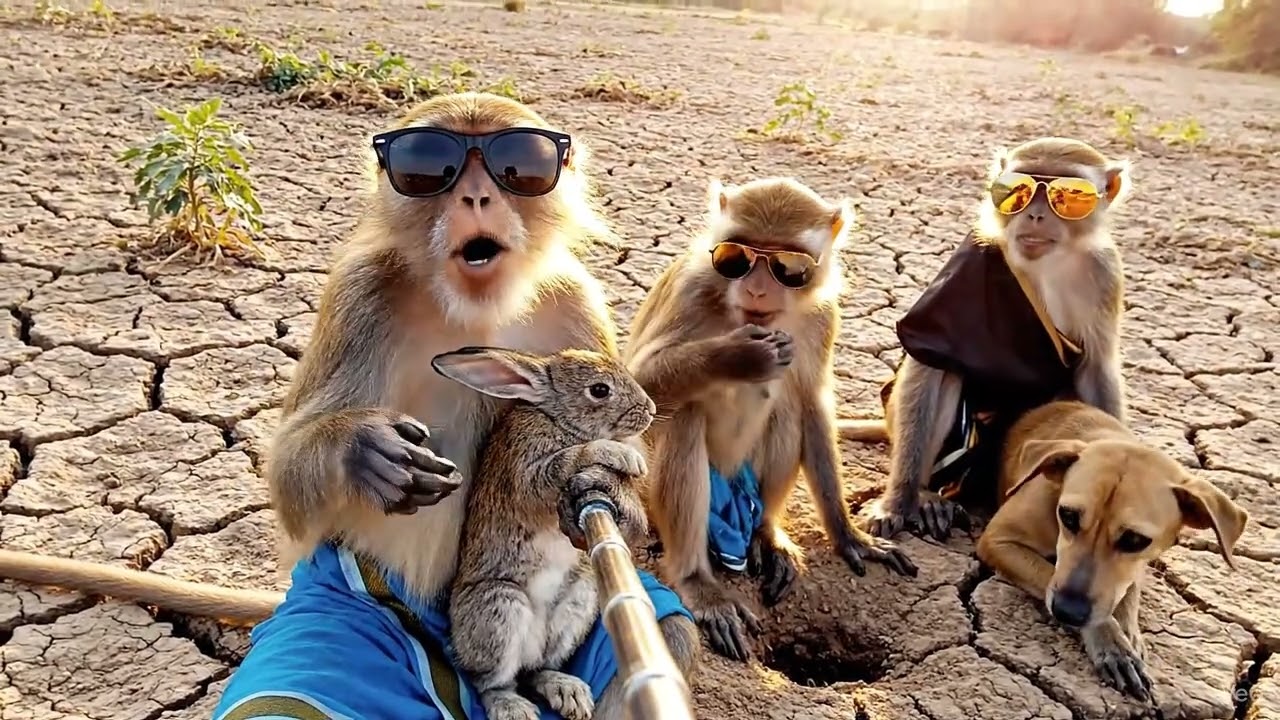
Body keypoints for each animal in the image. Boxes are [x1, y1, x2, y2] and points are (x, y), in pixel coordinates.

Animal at [624, 176, 918, 662]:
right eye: (737, 256)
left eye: (788, 266)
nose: (758, 290)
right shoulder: (690, 288)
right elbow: (636, 382)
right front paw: (737, 355)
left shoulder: (823, 317)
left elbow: (813, 403)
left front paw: (848, 534)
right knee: (684, 418)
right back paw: (696, 581)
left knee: (789, 409)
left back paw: (766, 534)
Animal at [856, 136, 1132, 543]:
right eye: (1019, 189)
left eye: (1068, 194)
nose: (1035, 215)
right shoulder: (968, 265)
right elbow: (930, 355)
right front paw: (898, 501)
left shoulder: (1106, 272)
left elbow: (1095, 370)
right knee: (948, 375)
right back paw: (928, 496)